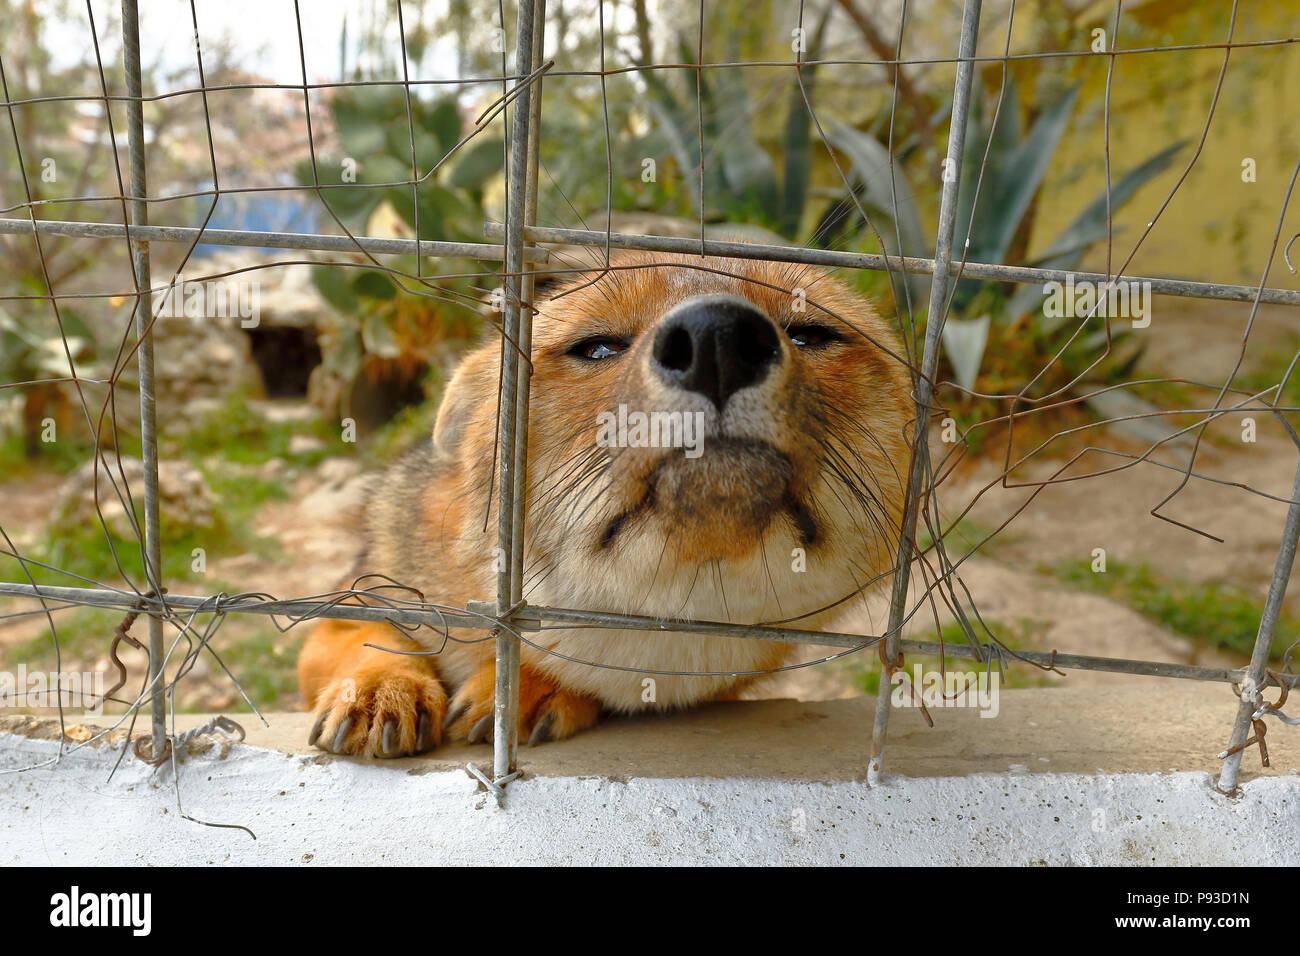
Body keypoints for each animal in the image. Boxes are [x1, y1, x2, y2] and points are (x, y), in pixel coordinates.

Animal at [297, 250, 915, 757]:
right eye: (598, 347)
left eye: (809, 334)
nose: (717, 338)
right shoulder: (358, 595)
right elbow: (364, 638)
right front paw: (380, 685)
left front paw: (531, 685)